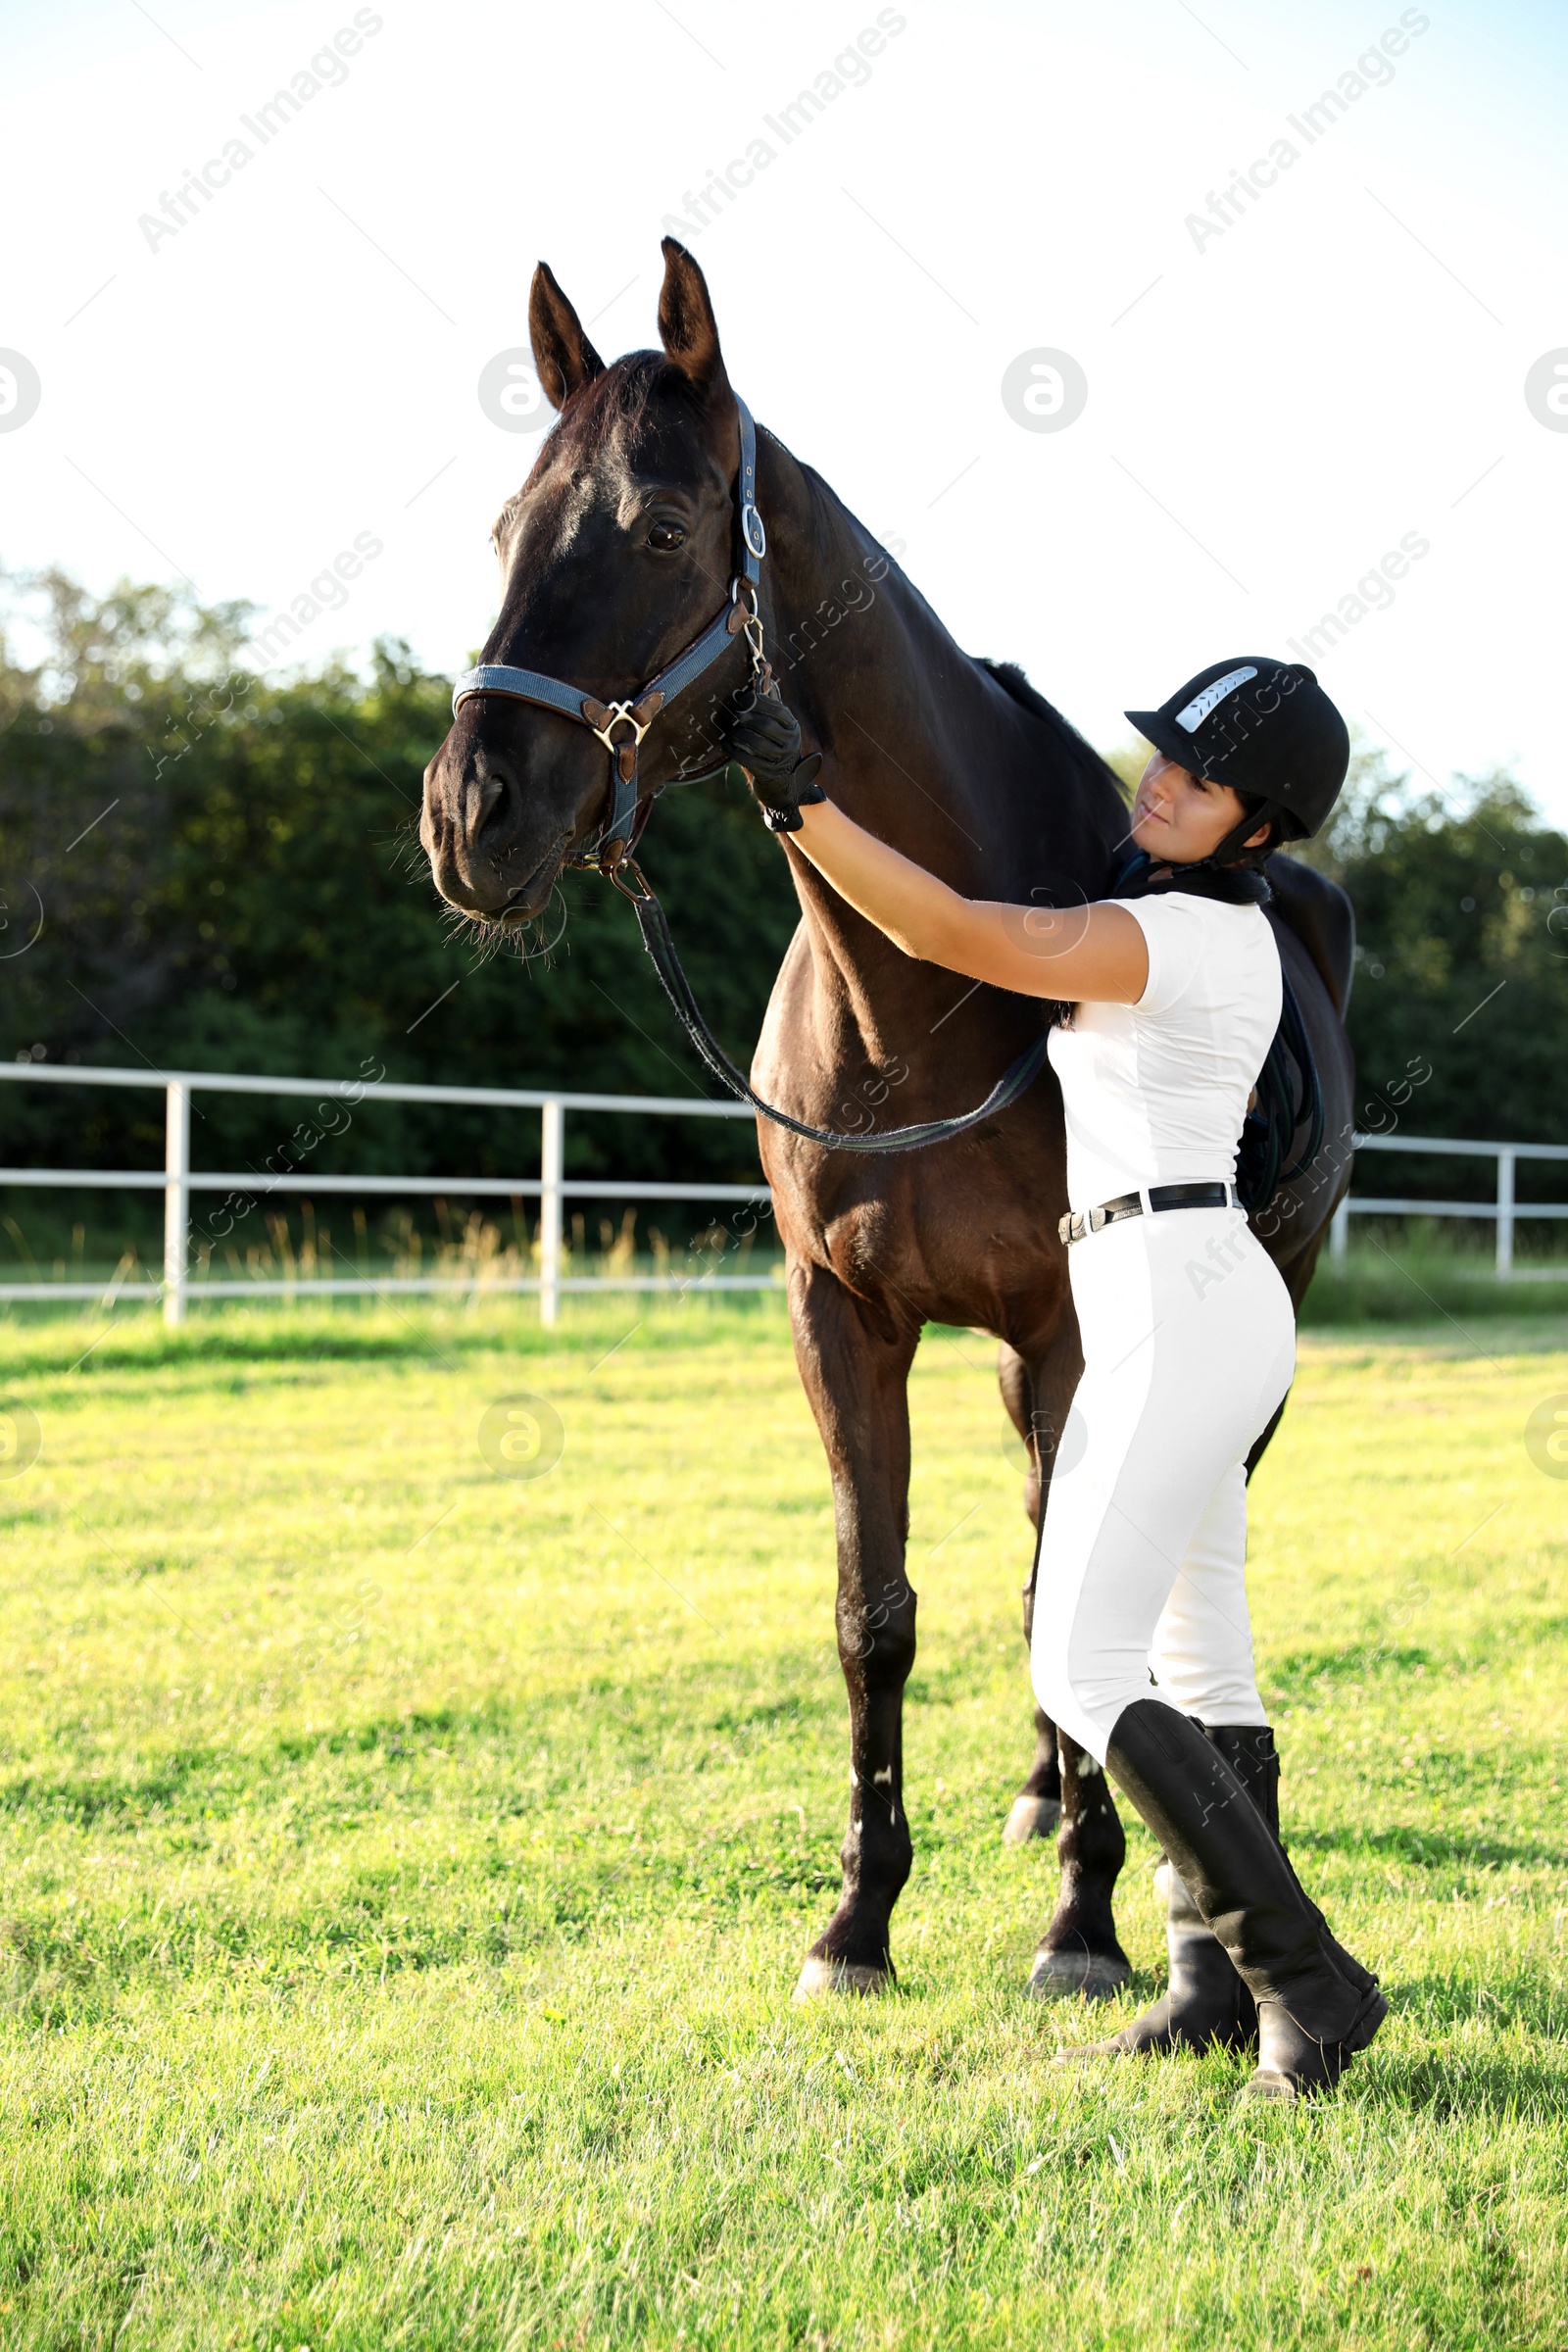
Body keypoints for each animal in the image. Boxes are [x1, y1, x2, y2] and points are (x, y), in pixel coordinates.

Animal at [420, 238, 1363, 2003]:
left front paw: (1082, 1926)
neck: (918, 1009)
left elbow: (1066, 1585)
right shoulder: (844, 1317)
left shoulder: (1069, 1327)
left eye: (663, 528)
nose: (470, 814)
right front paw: (860, 1920)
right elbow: (880, 1612)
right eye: (507, 529)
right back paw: (1046, 1790)